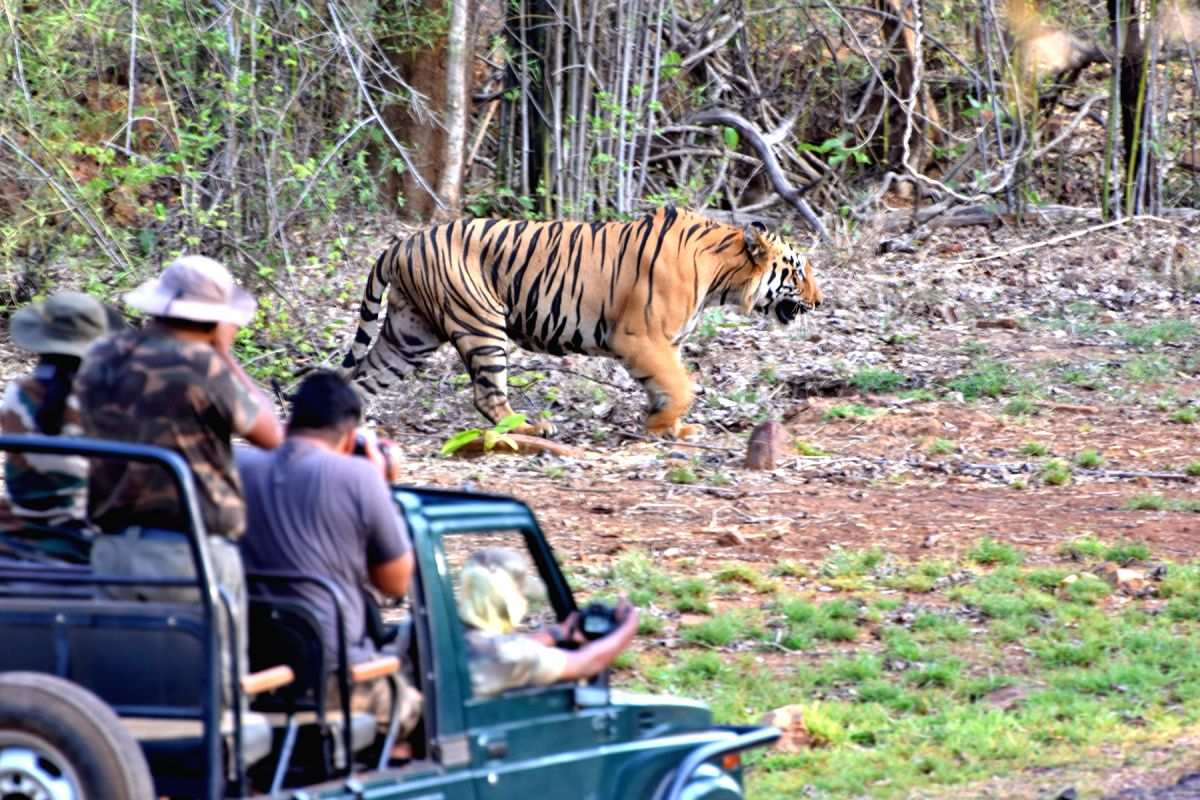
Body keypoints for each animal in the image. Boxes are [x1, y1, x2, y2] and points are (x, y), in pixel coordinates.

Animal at [341, 206, 822, 439]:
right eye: (798, 271)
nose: (819, 302)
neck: (721, 275)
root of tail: (401, 245)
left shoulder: (663, 344)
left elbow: (666, 386)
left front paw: (667, 425)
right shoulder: (639, 336)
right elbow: (681, 386)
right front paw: (663, 427)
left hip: (410, 334)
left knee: (364, 379)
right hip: (480, 324)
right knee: (488, 396)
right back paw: (533, 428)